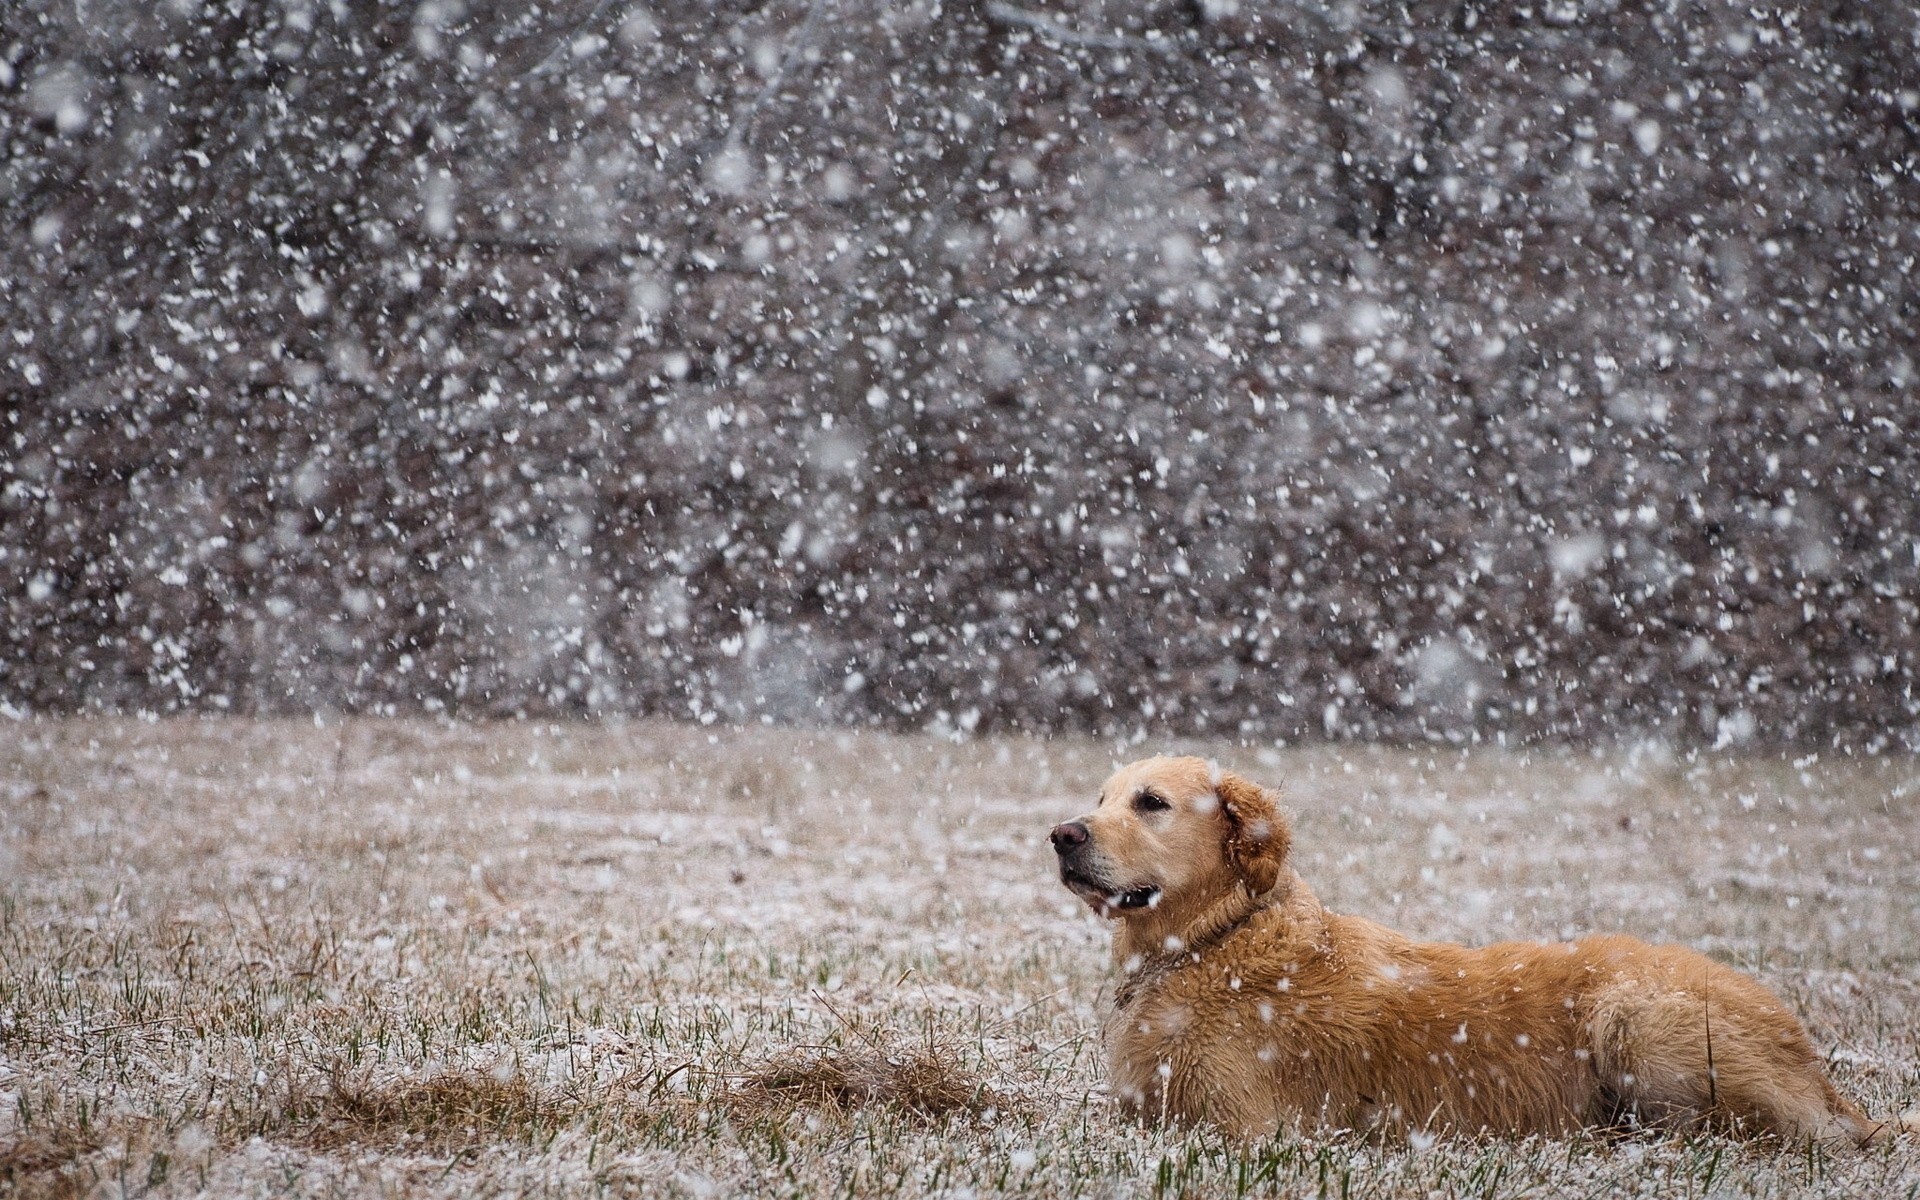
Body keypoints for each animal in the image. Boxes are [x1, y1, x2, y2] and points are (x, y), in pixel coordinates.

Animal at [1059, 756, 1912, 1144]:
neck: (1214, 940)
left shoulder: (1244, 1126)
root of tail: (1810, 1056)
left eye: (1152, 803)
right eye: (1101, 797)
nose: (1062, 835)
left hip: (1638, 1018)